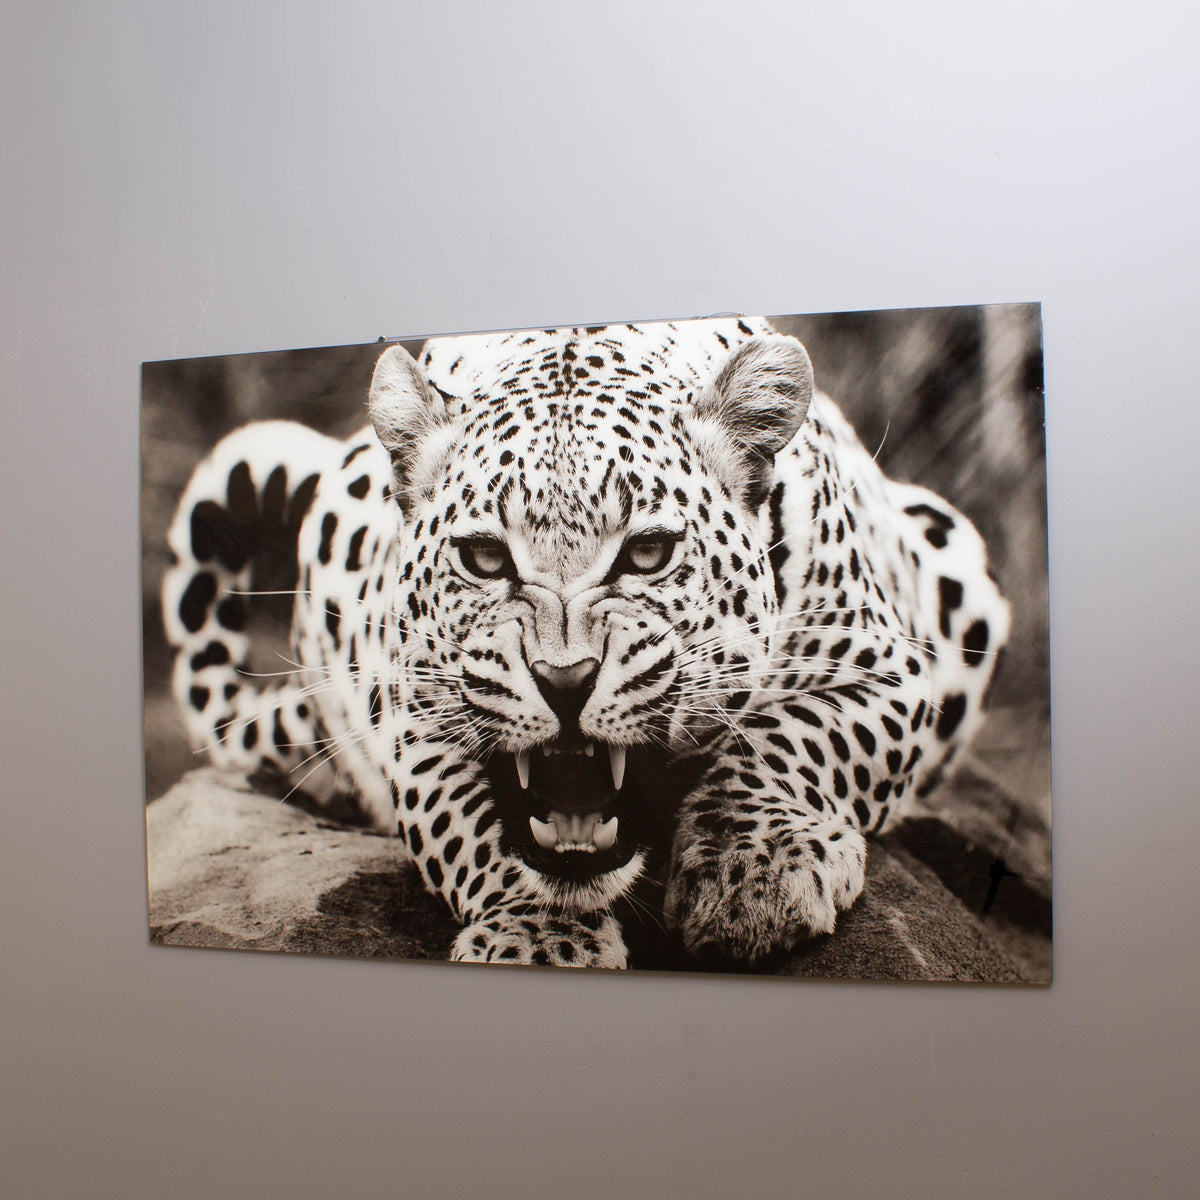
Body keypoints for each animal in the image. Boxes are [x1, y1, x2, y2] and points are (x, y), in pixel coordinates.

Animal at [161, 316, 1009, 969]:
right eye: (485, 559)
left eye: (647, 553)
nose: (564, 679)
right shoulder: (411, 714)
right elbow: (468, 827)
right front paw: (540, 938)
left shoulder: (890, 670)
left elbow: (793, 738)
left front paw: (752, 872)